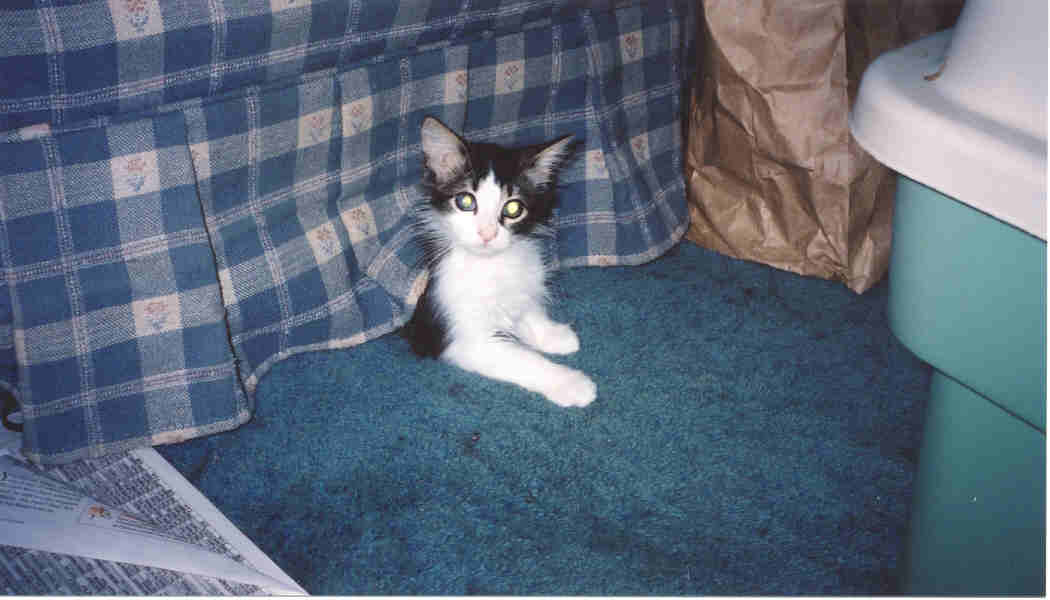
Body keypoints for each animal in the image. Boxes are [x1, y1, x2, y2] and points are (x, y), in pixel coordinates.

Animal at [403, 117, 596, 407]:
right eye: (465, 201)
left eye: (513, 208)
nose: (487, 234)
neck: (490, 265)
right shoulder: (463, 337)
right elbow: (524, 359)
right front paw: (571, 383)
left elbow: (524, 305)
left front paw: (551, 334)